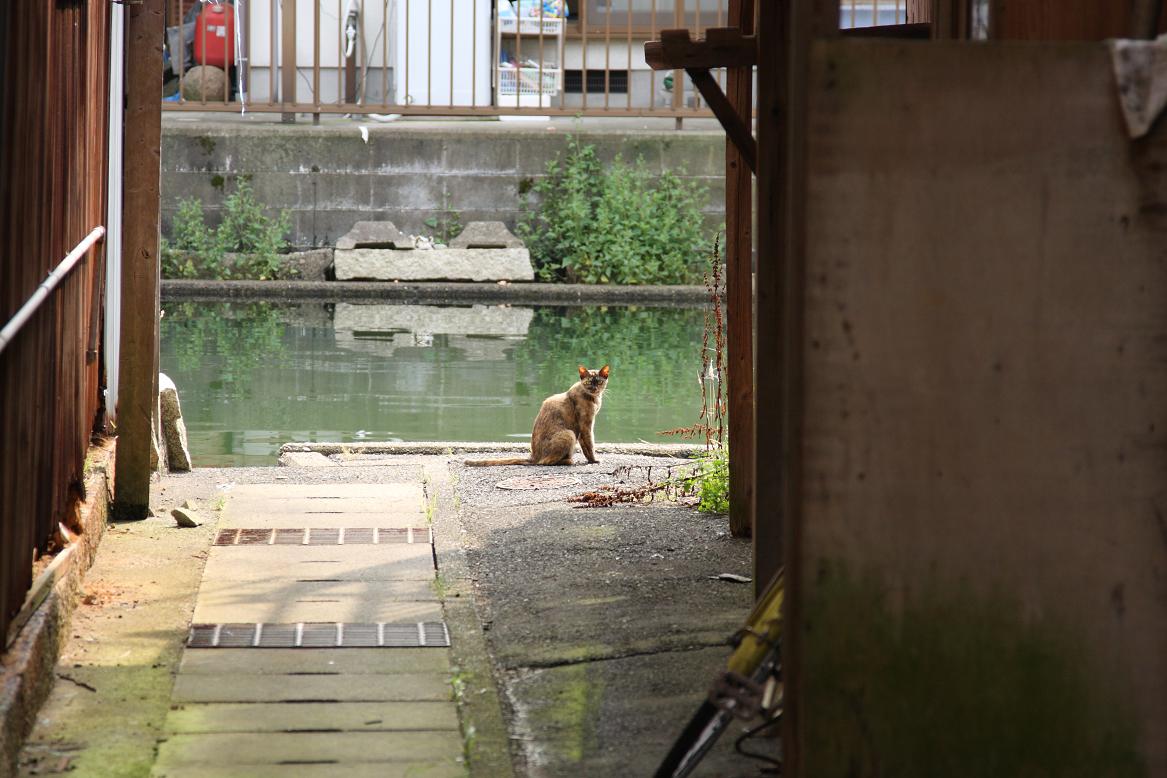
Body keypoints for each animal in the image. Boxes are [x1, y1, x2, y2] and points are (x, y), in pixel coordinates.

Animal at [466, 366, 611, 468]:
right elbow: (590, 445)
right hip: (569, 434)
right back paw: (569, 461)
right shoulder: (586, 425)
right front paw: (594, 460)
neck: (595, 399)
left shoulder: (582, 430)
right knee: (546, 462)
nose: (594, 388)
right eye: (588, 382)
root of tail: (533, 456)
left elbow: (586, 448)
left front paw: (591, 460)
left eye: (599, 382)